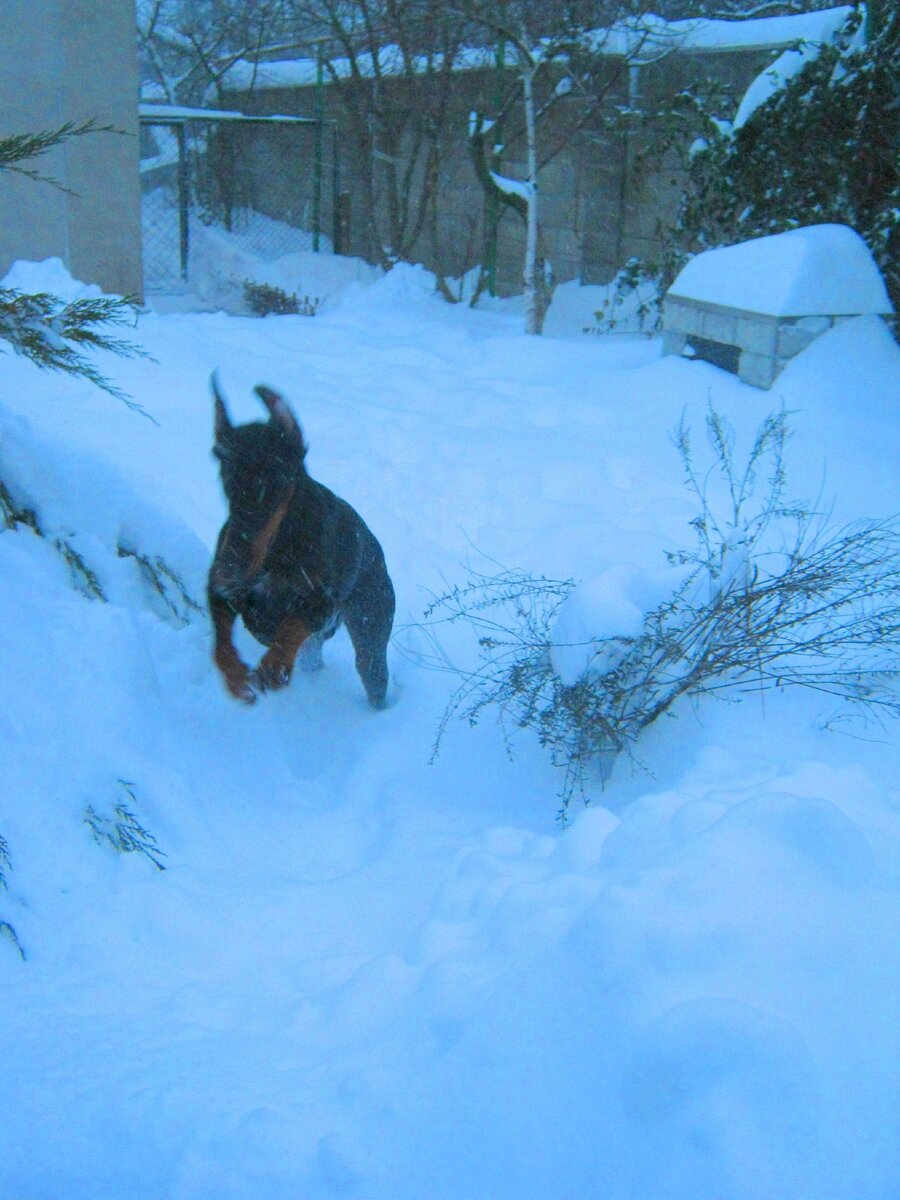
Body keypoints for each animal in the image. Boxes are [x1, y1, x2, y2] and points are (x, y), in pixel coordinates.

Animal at [211, 374, 398, 705]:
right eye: (225, 471)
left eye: (276, 478)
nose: (231, 569)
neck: (279, 547)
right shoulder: (220, 590)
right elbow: (221, 640)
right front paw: (235, 678)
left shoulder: (322, 601)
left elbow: (292, 625)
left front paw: (274, 666)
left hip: (371, 626)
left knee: (371, 669)